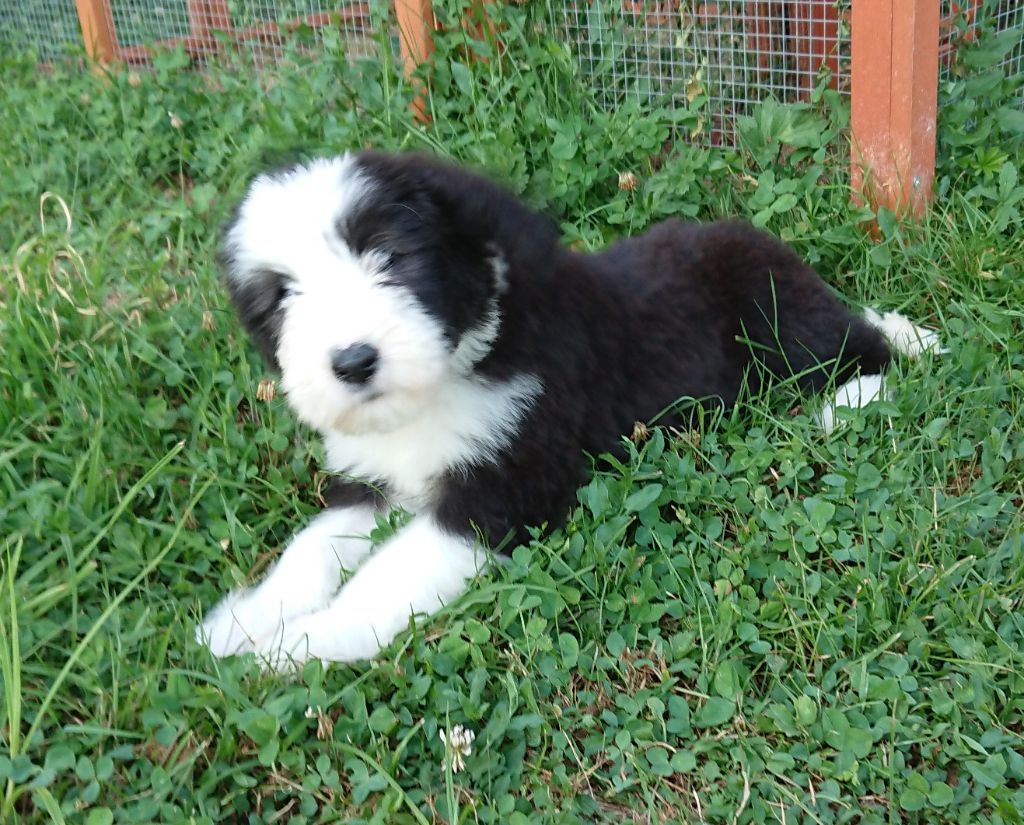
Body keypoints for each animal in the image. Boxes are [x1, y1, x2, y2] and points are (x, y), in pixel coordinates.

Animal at [193, 150, 942, 671]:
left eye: (394, 258)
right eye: (281, 297)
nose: (351, 361)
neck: (449, 376)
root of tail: (762, 239)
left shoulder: (504, 487)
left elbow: (384, 578)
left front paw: (297, 646)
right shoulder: (370, 480)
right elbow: (311, 547)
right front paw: (244, 621)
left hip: (772, 317)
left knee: (855, 346)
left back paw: (849, 401)